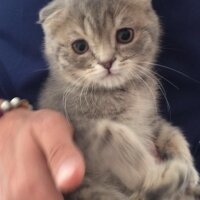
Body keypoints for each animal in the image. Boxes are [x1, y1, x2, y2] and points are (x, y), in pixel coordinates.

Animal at [38, 0, 200, 199]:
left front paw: (191, 170)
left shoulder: (151, 119)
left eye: (125, 35)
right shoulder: (78, 129)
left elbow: (172, 133)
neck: (121, 92)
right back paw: (166, 177)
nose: (107, 62)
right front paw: (151, 172)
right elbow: (110, 134)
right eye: (80, 46)